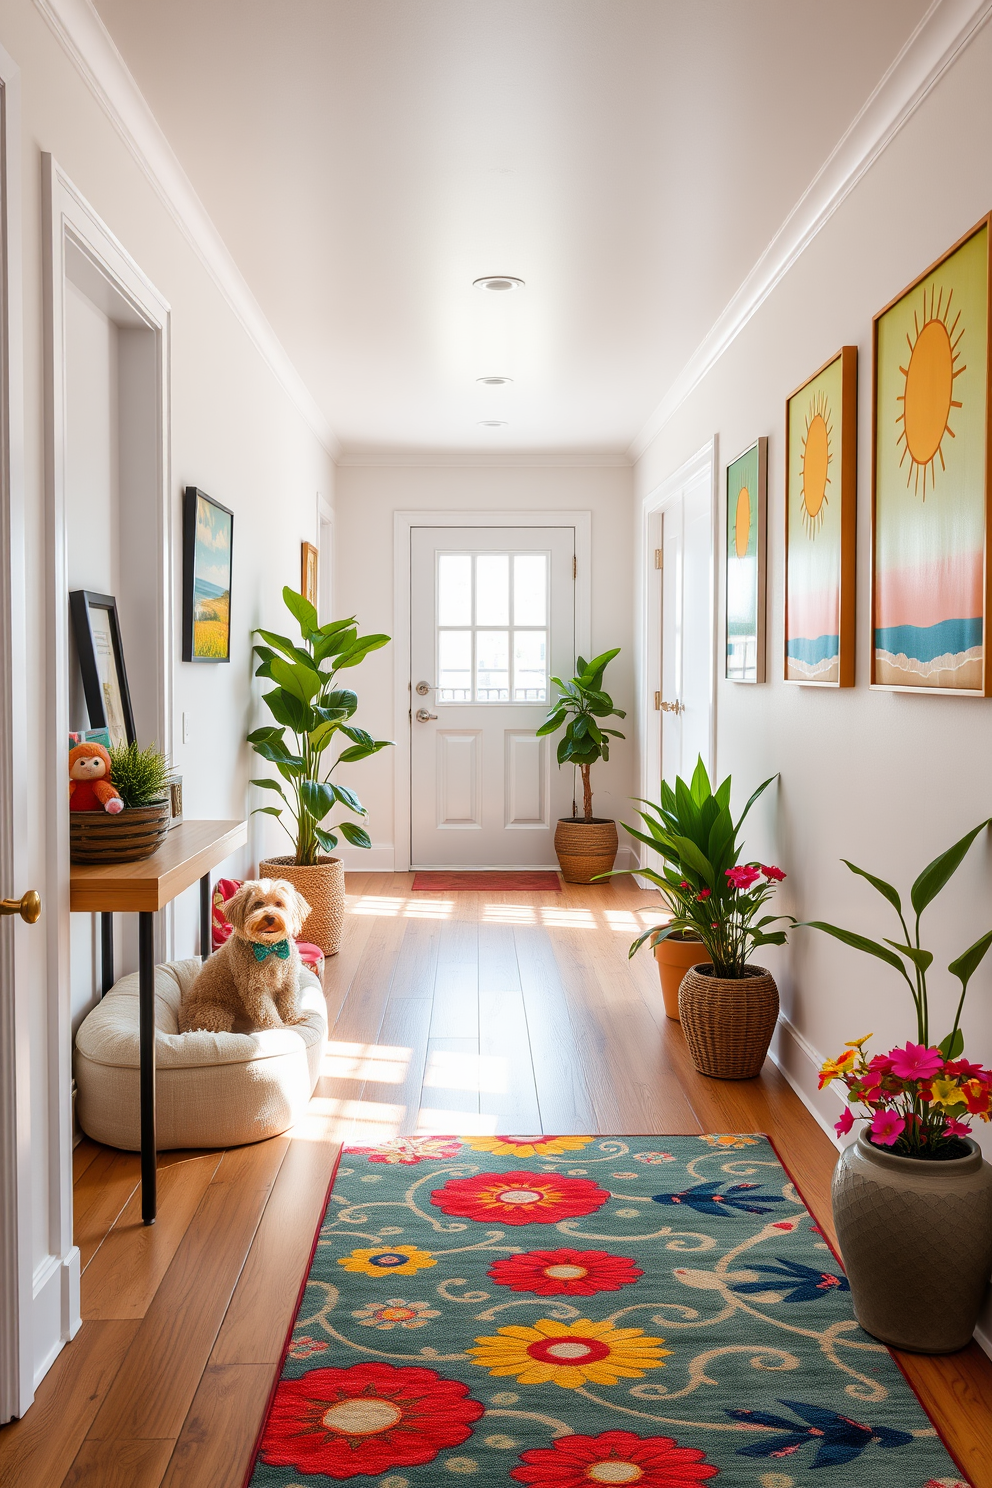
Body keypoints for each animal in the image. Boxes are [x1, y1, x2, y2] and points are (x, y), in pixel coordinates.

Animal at [180, 874, 312, 1029]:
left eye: (279, 903)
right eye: (258, 904)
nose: (270, 917)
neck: (269, 948)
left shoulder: (288, 983)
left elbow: (289, 1004)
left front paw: (293, 1020)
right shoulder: (255, 989)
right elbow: (267, 1013)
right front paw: (277, 1028)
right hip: (217, 1015)